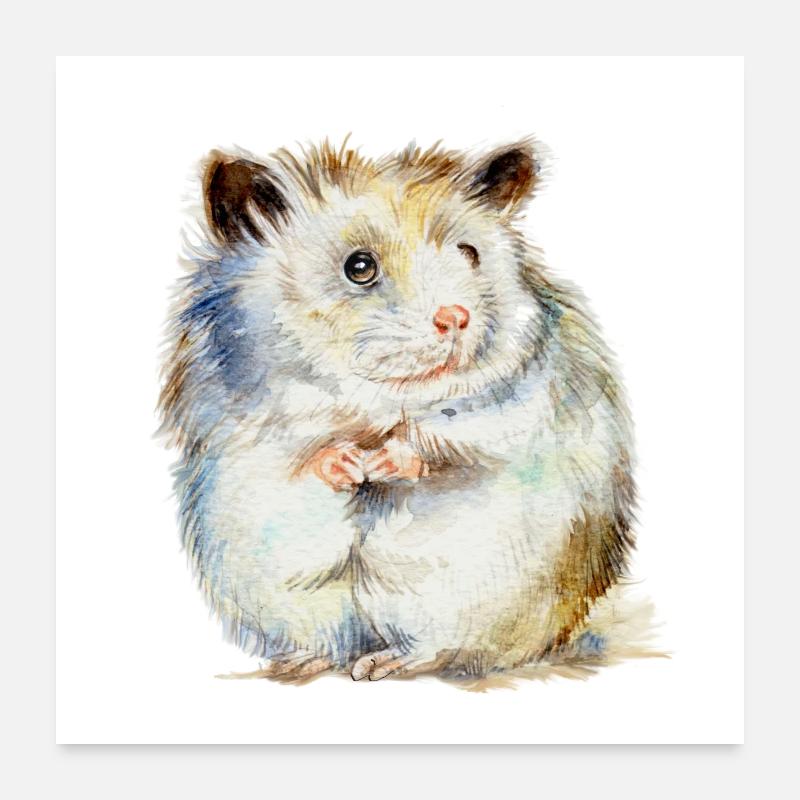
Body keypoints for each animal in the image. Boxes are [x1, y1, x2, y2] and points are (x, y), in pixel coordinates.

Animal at [159, 138, 636, 682]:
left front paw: (383, 462)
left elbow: (457, 435)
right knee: (334, 641)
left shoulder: (518, 401)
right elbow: (297, 452)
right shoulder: (244, 417)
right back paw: (300, 663)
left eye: (469, 253)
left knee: (442, 648)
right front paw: (348, 465)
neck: (380, 396)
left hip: (463, 594)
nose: (456, 318)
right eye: (359, 267)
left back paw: (379, 665)